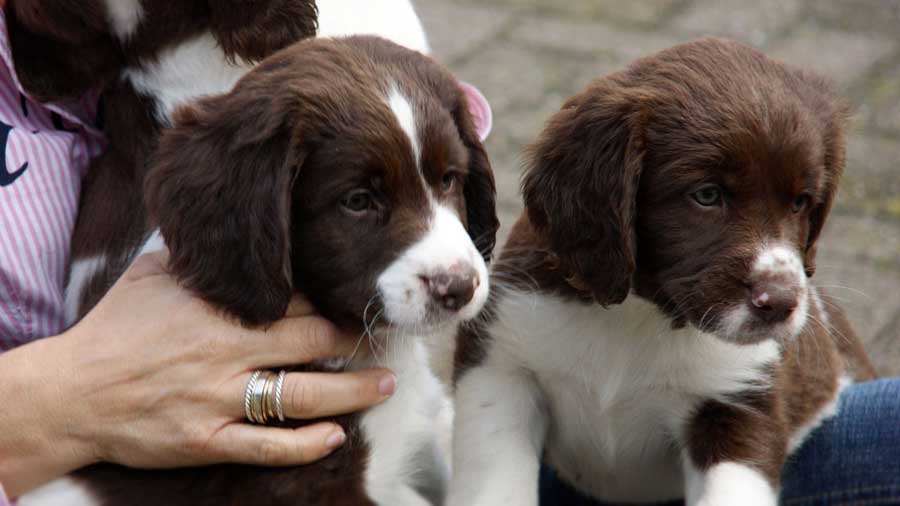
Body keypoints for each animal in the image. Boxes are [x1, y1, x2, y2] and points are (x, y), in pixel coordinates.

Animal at [450, 36, 880, 506]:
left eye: (802, 202)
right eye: (706, 195)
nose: (781, 303)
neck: (639, 315)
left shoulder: (738, 402)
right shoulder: (501, 368)